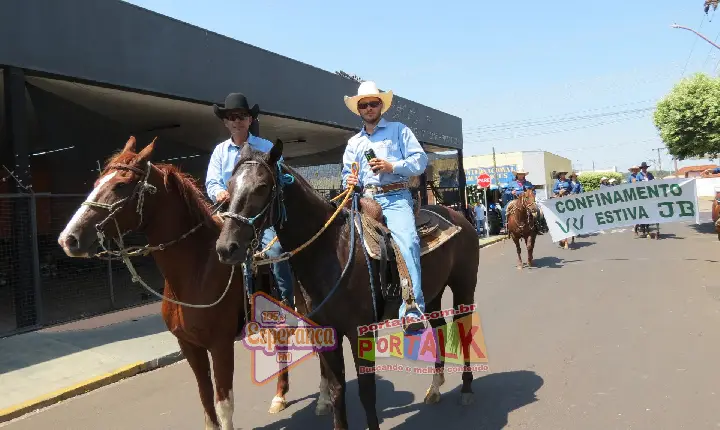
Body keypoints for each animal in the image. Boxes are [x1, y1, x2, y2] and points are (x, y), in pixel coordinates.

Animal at [58, 138, 310, 430]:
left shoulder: (220, 345)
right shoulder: (189, 346)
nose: (68, 239)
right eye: (97, 182)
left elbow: (224, 403)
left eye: (121, 184)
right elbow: (205, 398)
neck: (196, 272)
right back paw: (279, 396)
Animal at [217, 141, 480, 430]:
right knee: (439, 328)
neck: (331, 251)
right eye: (229, 185)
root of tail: (459, 216)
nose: (226, 247)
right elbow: (336, 390)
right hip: (431, 294)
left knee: (464, 331)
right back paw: (434, 388)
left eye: (262, 186)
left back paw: (467, 390)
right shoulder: (326, 332)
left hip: (464, 287)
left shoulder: (359, 331)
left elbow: (366, 391)